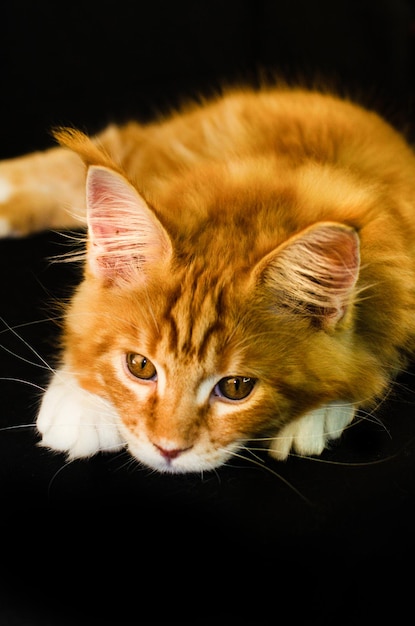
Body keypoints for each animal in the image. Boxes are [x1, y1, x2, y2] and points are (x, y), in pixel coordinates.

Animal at [0, 85, 415, 470]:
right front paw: (79, 400)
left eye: (236, 387)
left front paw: (314, 418)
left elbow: (368, 363)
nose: (167, 449)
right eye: (140, 366)